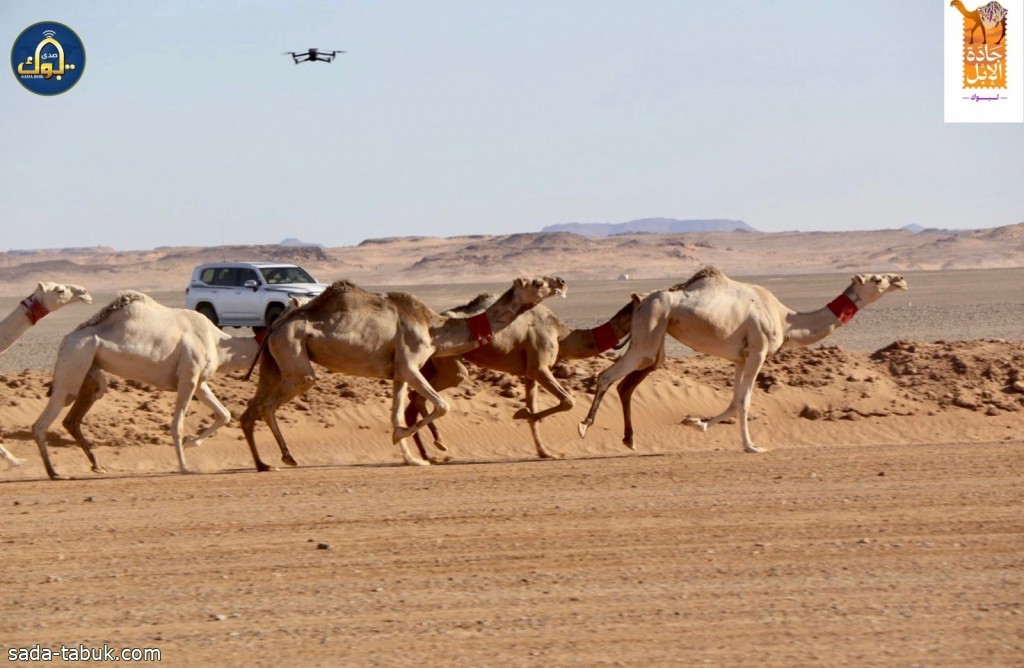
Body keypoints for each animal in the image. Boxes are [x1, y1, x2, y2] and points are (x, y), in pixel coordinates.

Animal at [32, 293, 260, 479]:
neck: (219, 345)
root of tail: (65, 342)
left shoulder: (199, 382)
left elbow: (224, 414)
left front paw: (190, 442)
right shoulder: (188, 377)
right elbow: (177, 424)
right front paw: (184, 466)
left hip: (91, 373)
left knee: (72, 419)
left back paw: (96, 466)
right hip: (74, 362)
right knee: (43, 422)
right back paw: (54, 473)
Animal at [239, 276, 569, 469]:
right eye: (538, 283)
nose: (561, 281)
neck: (433, 328)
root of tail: (275, 325)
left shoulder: (397, 372)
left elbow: (395, 413)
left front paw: (410, 458)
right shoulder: (410, 365)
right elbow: (442, 405)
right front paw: (416, 446)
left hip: (274, 361)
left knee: (250, 411)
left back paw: (263, 463)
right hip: (294, 356)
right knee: (270, 404)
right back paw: (286, 457)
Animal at [403, 297, 634, 458]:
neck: (560, 332)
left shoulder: (530, 372)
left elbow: (534, 406)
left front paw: (545, 452)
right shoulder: (539, 368)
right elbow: (568, 401)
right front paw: (522, 414)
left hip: (429, 362)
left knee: (413, 401)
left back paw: (427, 454)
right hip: (448, 361)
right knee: (440, 385)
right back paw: (435, 445)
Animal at [581, 266, 909, 454]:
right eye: (877, 278)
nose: (901, 279)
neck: (785, 319)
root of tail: (640, 299)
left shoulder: (740, 358)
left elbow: (733, 400)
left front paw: (695, 423)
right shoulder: (758, 351)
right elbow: (745, 401)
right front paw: (751, 446)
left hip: (655, 335)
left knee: (628, 382)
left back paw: (629, 439)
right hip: (650, 329)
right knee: (608, 376)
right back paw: (585, 426)